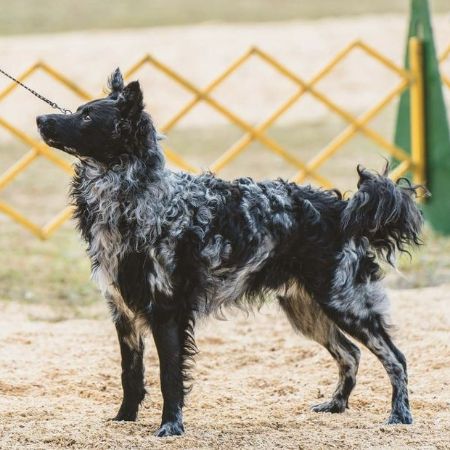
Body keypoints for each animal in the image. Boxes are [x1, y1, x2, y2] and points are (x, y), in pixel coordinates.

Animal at [37, 69, 424, 436]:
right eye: (79, 111)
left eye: (88, 116)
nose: (41, 119)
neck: (133, 197)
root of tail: (342, 209)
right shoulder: (123, 313)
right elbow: (130, 376)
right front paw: (124, 419)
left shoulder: (167, 311)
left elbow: (168, 378)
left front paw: (170, 426)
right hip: (307, 309)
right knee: (351, 354)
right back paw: (337, 404)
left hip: (346, 303)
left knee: (395, 358)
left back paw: (400, 415)